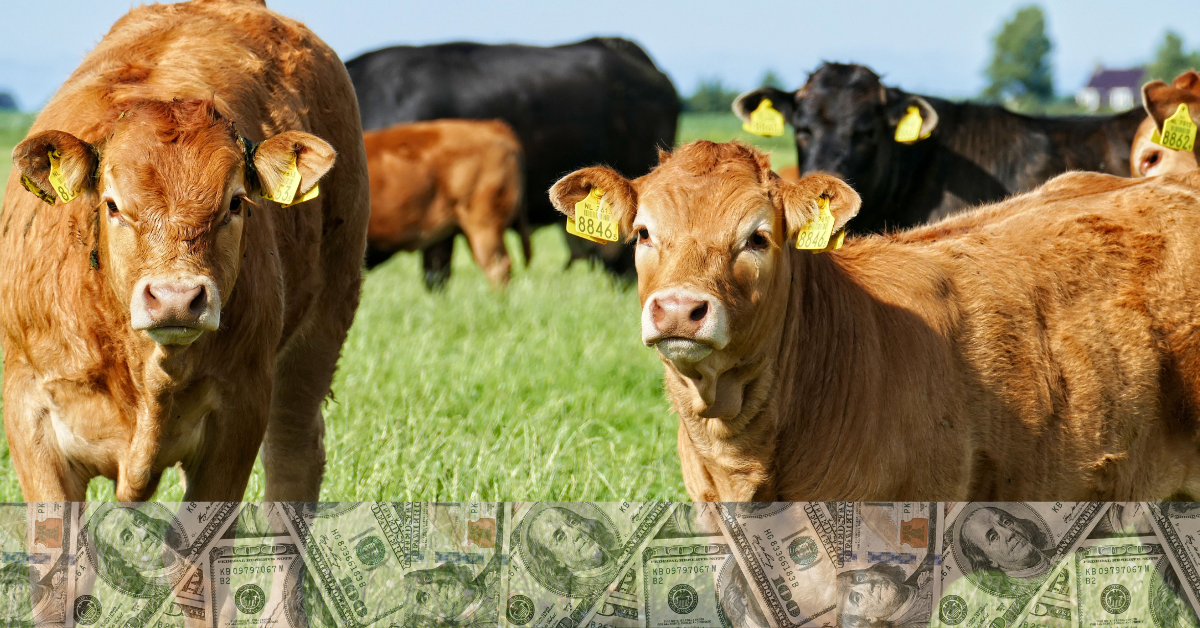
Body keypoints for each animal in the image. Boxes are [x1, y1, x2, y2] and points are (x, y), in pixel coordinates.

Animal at [1, 0, 368, 502]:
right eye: (112, 204)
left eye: (236, 202)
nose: (176, 299)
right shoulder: (30, 412)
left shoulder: (240, 414)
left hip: (321, 331)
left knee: (293, 454)